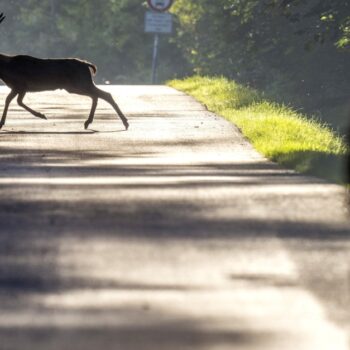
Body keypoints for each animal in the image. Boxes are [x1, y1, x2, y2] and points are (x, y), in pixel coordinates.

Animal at [0, 12, 129, 131]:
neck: (6, 68)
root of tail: (87, 65)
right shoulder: (18, 87)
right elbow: (12, 101)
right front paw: (3, 123)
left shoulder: (20, 85)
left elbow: (13, 101)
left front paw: (41, 115)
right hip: (76, 86)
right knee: (96, 95)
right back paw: (89, 122)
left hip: (80, 83)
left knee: (105, 94)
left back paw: (124, 123)